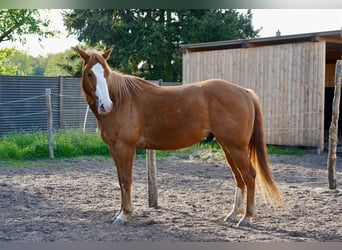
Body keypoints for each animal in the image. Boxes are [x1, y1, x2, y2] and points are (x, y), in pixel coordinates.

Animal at [77, 46, 284, 227]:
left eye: (106, 73)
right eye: (90, 74)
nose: (106, 105)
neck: (121, 100)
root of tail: (245, 92)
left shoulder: (124, 147)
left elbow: (126, 181)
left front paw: (124, 215)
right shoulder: (114, 148)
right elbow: (121, 181)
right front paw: (120, 213)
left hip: (236, 147)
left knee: (249, 175)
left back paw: (247, 217)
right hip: (228, 147)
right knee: (239, 177)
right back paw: (234, 214)